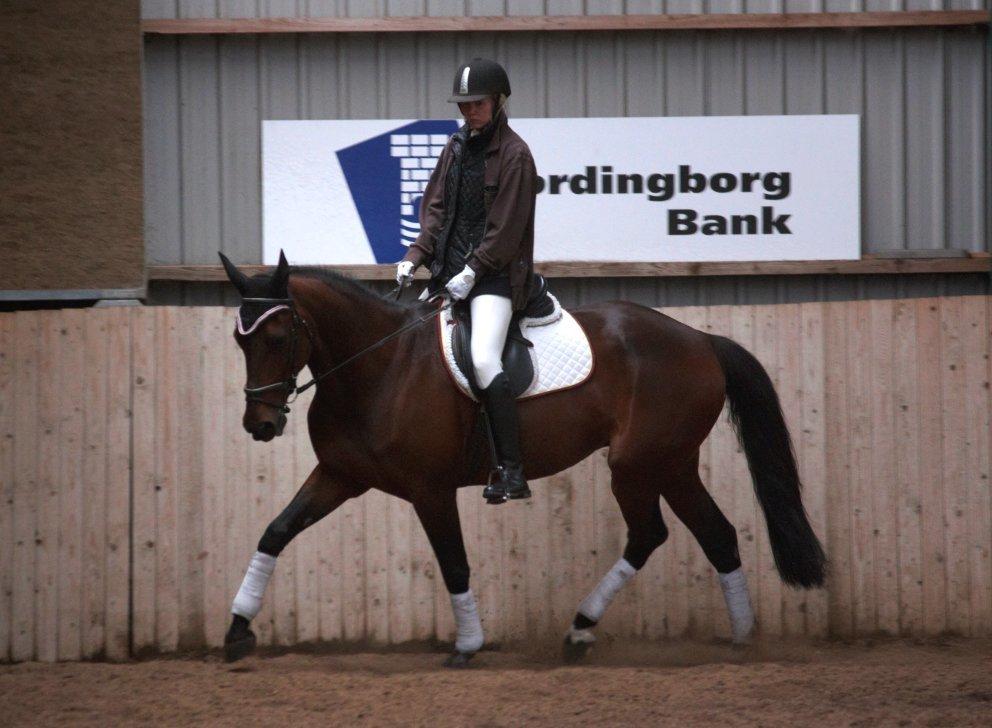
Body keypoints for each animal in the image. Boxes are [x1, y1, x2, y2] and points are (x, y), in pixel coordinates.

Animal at [221, 252, 824, 664]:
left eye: (278, 336)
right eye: (239, 339)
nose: (260, 425)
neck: (379, 367)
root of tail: (700, 340)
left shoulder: (430, 490)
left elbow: (454, 562)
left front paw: (468, 644)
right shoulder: (339, 475)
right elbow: (275, 532)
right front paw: (237, 630)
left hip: (640, 464)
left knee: (654, 533)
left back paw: (596, 628)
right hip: (670, 465)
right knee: (710, 535)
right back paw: (729, 638)